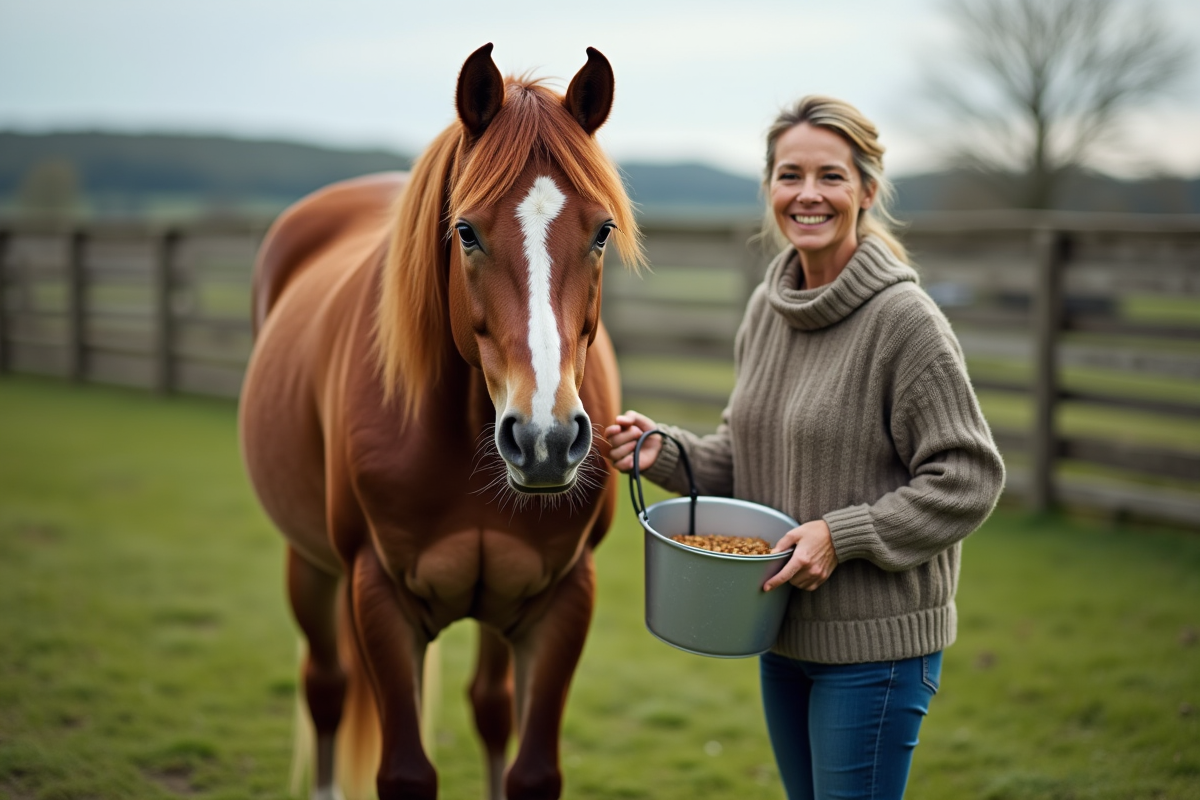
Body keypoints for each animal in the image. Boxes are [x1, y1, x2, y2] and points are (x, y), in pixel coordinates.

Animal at [238, 43, 642, 800]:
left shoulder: (561, 600)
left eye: (602, 231)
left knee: (487, 707)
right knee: (326, 688)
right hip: (311, 565)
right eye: (466, 231)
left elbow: (528, 766)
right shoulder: (379, 598)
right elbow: (403, 770)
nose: (546, 440)